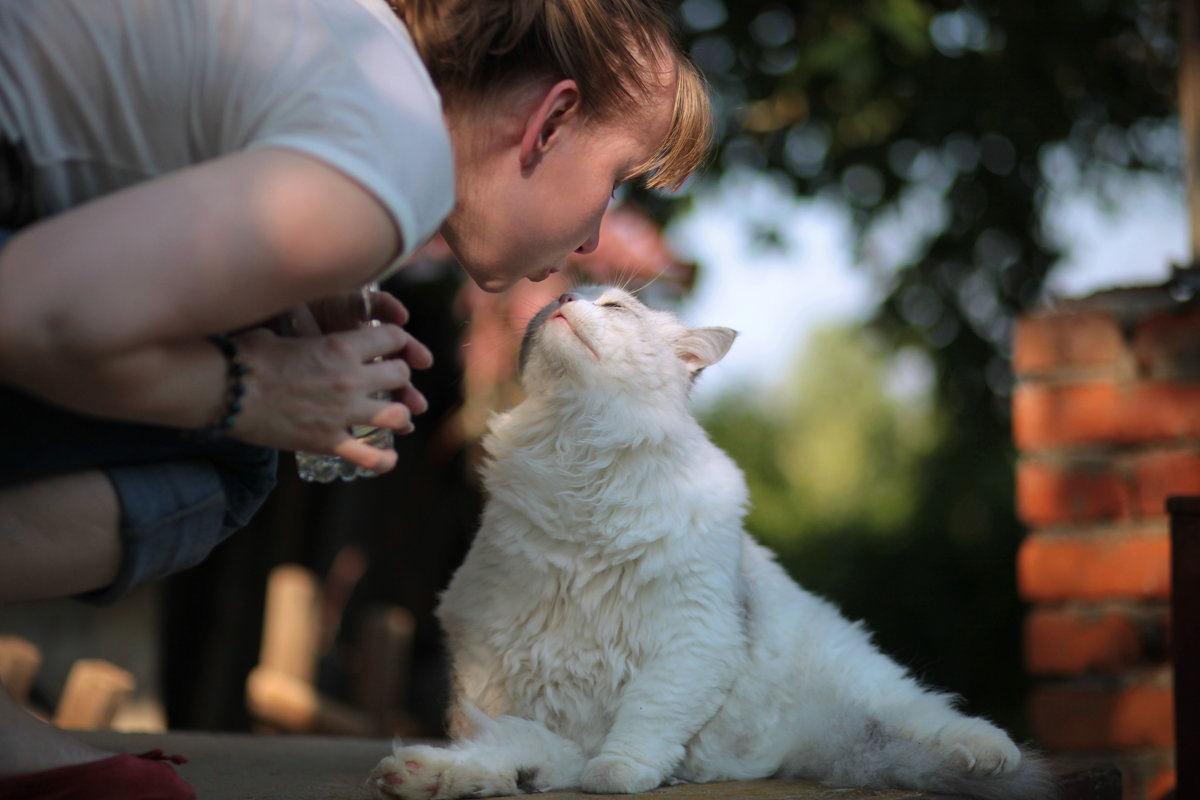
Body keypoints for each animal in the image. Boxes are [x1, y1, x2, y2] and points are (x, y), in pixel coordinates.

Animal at [369, 287, 1056, 800]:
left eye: (615, 306)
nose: (561, 295)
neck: (577, 455)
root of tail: (802, 744)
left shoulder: (692, 638)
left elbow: (643, 721)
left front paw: (619, 774)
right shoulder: (488, 651)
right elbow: (507, 743)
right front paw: (438, 774)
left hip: (865, 680)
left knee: (930, 714)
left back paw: (989, 753)